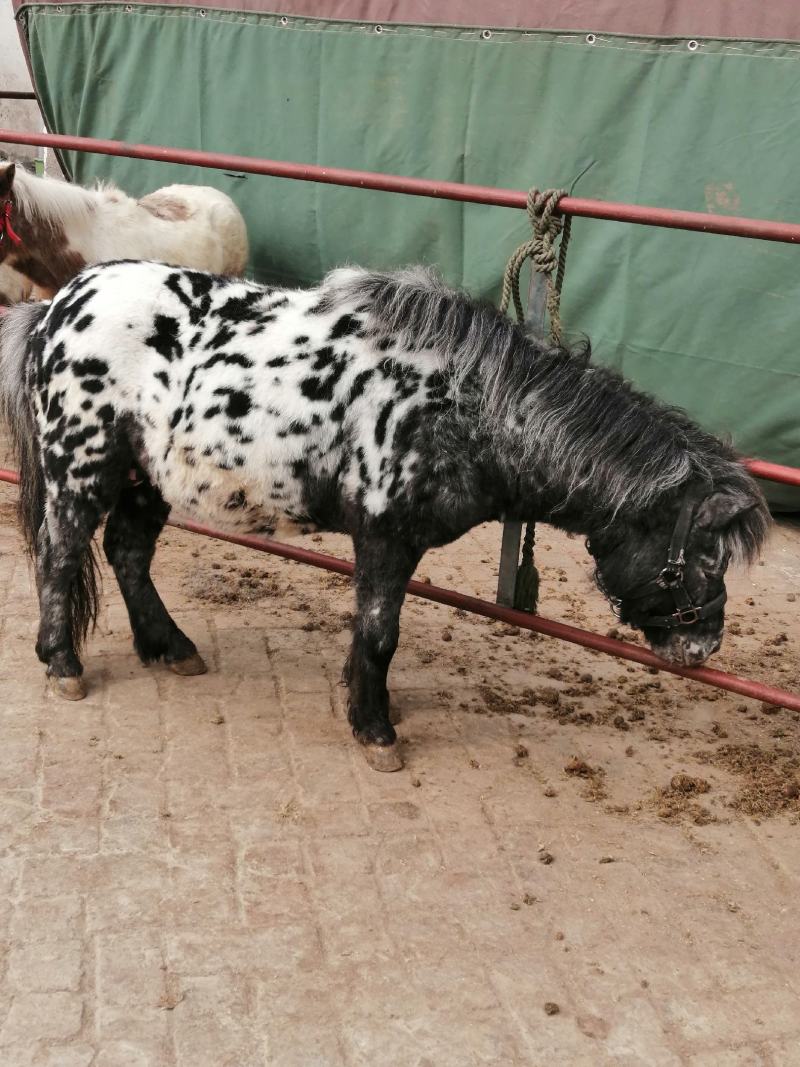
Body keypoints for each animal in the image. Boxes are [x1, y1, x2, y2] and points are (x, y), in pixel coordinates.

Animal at [0, 259, 770, 771]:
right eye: (706, 554)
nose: (703, 645)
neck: (465, 405)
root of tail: (58, 305)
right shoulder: (385, 539)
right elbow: (378, 634)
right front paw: (375, 732)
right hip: (81, 467)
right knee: (63, 552)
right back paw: (63, 663)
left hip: (145, 478)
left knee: (128, 554)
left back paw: (170, 647)